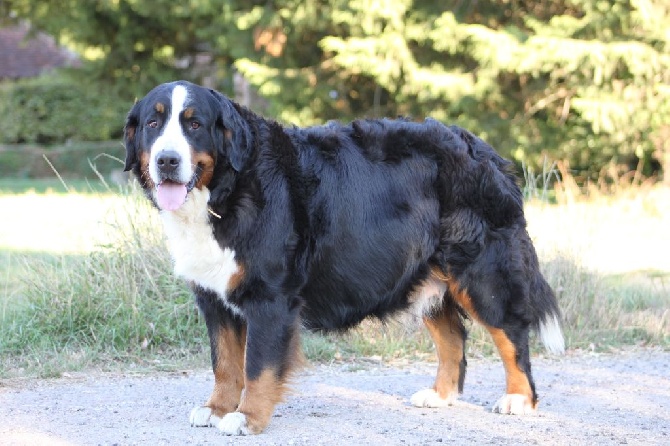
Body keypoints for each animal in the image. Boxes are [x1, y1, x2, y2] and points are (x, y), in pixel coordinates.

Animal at [123, 80, 564, 436]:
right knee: (453, 336)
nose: (167, 160)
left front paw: (247, 418)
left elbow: (258, 365)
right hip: (423, 274)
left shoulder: (270, 296)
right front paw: (216, 409)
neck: (226, 191)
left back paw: (519, 399)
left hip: (481, 274)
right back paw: (440, 395)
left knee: (511, 335)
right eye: (153, 124)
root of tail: (483, 149)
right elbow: (226, 363)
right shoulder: (214, 297)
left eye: (195, 124)